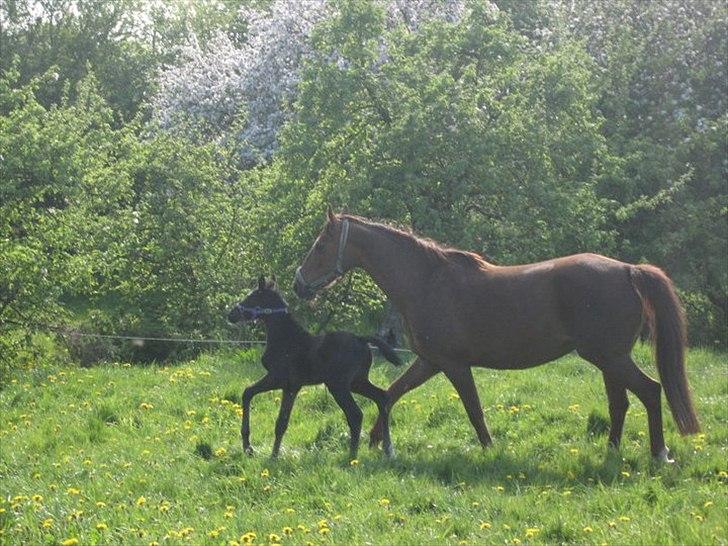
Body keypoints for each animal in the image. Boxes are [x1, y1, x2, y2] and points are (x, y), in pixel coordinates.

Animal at [229, 274, 404, 456]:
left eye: (252, 297)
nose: (231, 314)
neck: (286, 339)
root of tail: (361, 339)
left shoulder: (284, 382)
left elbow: (280, 421)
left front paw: (271, 455)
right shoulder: (285, 384)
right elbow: (249, 393)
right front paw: (249, 446)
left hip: (339, 386)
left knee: (356, 414)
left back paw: (352, 457)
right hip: (357, 382)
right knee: (381, 397)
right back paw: (388, 449)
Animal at [296, 208, 700, 460]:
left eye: (321, 245)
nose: (299, 284)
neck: (427, 281)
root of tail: (629, 270)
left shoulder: (453, 365)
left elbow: (474, 411)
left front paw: (490, 450)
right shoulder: (429, 362)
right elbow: (393, 392)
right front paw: (377, 440)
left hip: (611, 358)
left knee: (650, 391)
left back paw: (659, 453)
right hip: (607, 359)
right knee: (620, 404)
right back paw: (612, 451)